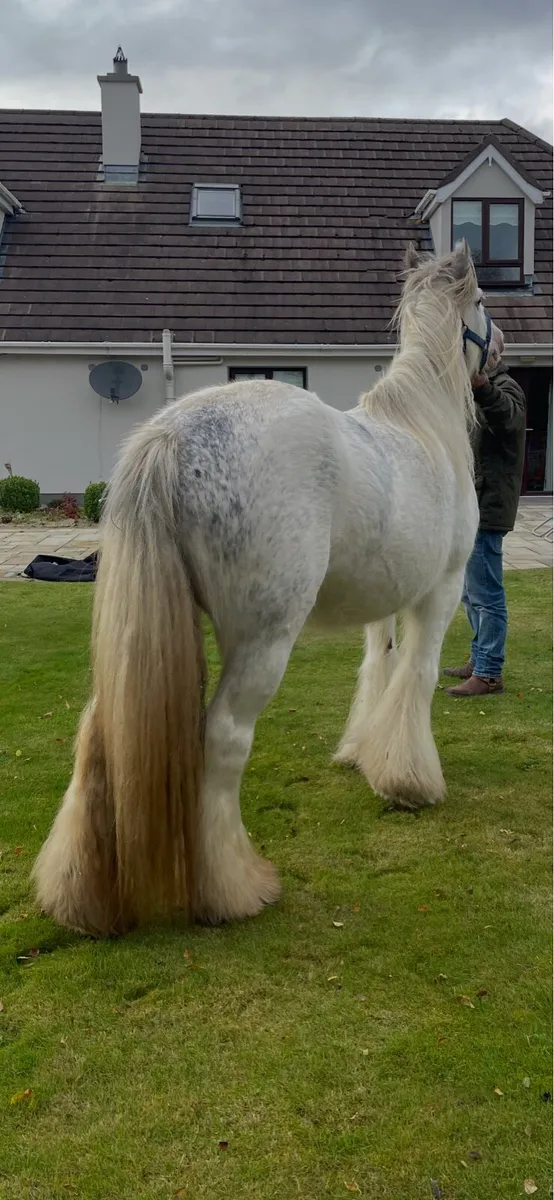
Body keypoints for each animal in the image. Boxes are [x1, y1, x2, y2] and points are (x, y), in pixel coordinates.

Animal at [33, 241, 502, 937]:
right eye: (486, 302)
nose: (500, 355)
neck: (424, 427)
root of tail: (170, 436)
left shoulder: (383, 603)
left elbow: (377, 669)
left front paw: (361, 753)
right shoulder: (438, 595)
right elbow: (414, 678)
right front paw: (409, 782)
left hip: (136, 639)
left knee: (96, 737)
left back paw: (81, 900)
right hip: (263, 642)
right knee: (222, 740)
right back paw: (231, 890)